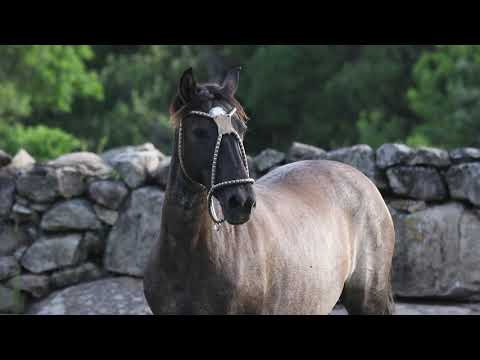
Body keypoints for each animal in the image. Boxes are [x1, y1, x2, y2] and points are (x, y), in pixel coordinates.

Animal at [142, 67, 394, 316]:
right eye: (199, 131)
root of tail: (362, 180)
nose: (241, 201)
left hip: (369, 300)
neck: (187, 254)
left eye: (241, 129)